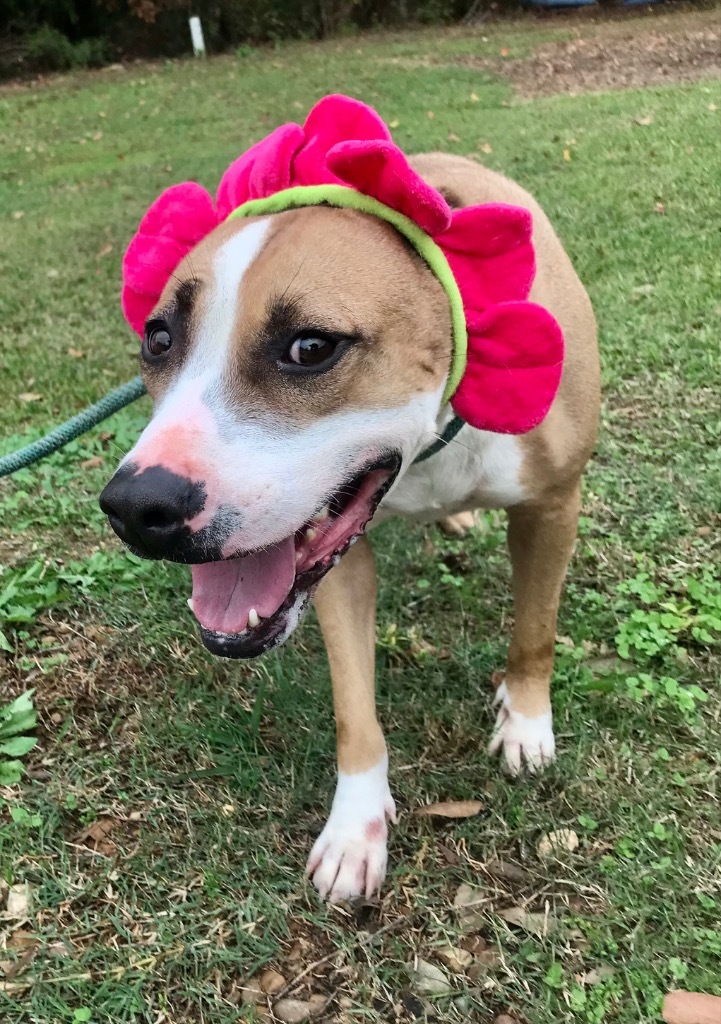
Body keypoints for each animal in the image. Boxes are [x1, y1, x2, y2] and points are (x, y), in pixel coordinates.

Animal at [98, 94, 598, 897]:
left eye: (311, 347)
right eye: (159, 339)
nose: (139, 508)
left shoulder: (553, 504)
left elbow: (535, 630)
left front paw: (525, 722)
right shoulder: (333, 553)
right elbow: (352, 706)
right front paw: (355, 829)